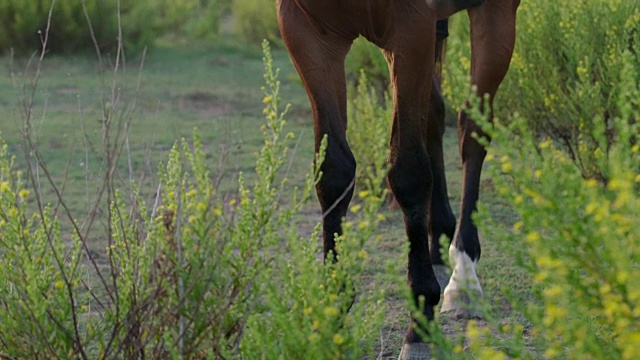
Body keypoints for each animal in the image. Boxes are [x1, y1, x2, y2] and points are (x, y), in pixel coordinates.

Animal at [278, 0, 516, 358]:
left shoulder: (409, 29)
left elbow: (409, 174)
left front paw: (419, 326)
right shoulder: (307, 32)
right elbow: (333, 171)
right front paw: (333, 316)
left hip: (494, 14)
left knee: (472, 129)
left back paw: (463, 276)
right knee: (435, 115)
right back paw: (438, 243)